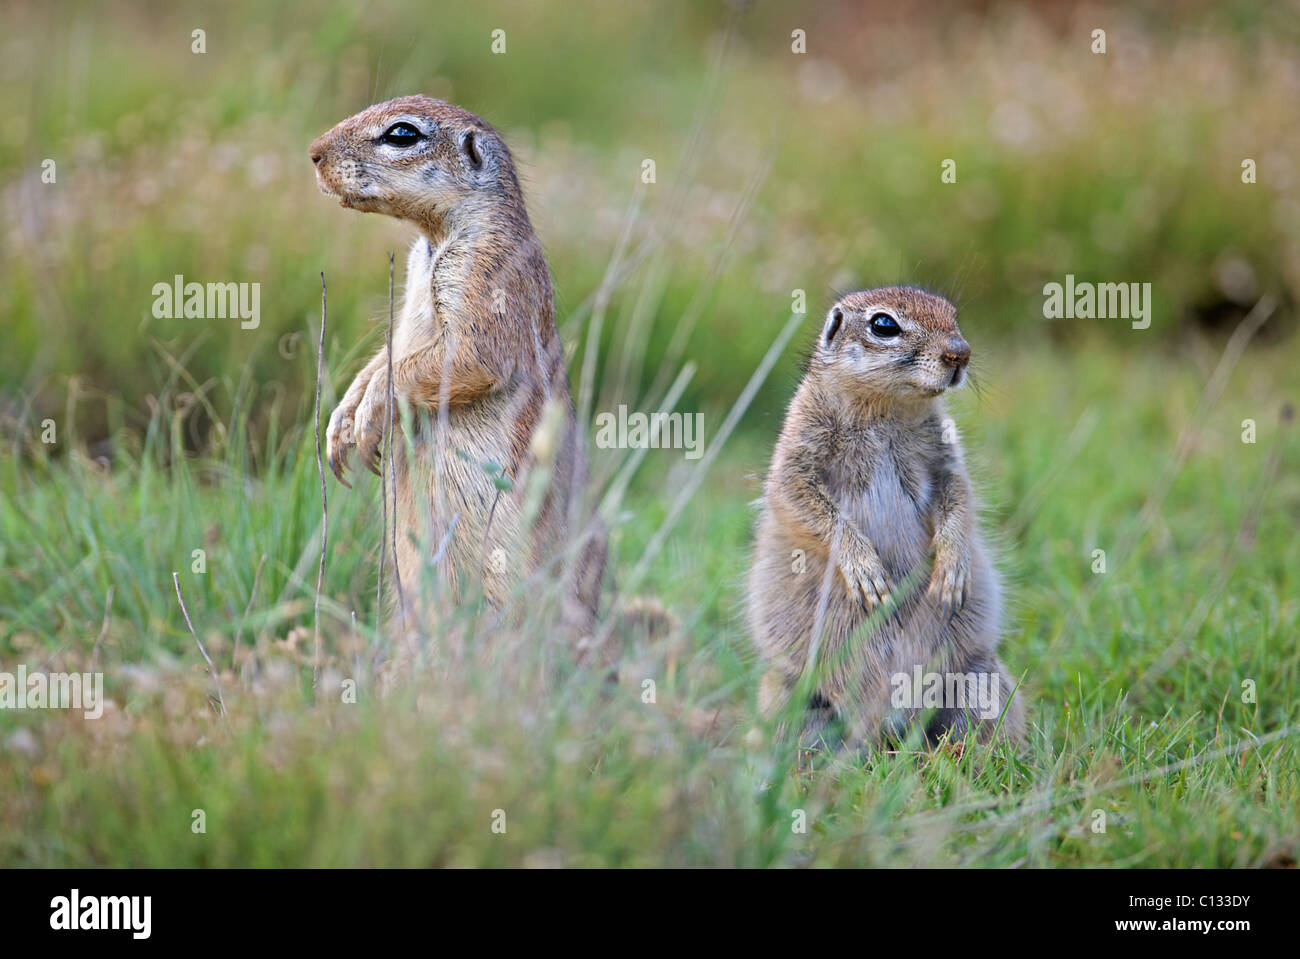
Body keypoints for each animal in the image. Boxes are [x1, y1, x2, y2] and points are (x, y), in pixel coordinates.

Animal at [310, 95, 606, 652]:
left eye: (402, 134)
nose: (313, 153)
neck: (434, 239)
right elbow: (386, 356)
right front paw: (341, 420)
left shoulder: (488, 273)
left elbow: (462, 358)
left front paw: (369, 414)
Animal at [746, 287, 1024, 748]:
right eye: (883, 325)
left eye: (953, 316)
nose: (961, 353)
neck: (887, 408)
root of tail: (892, 721)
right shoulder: (797, 451)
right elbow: (799, 500)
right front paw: (865, 569)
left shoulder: (947, 457)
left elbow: (960, 498)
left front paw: (952, 566)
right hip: (788, 692)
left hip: (981, 679)